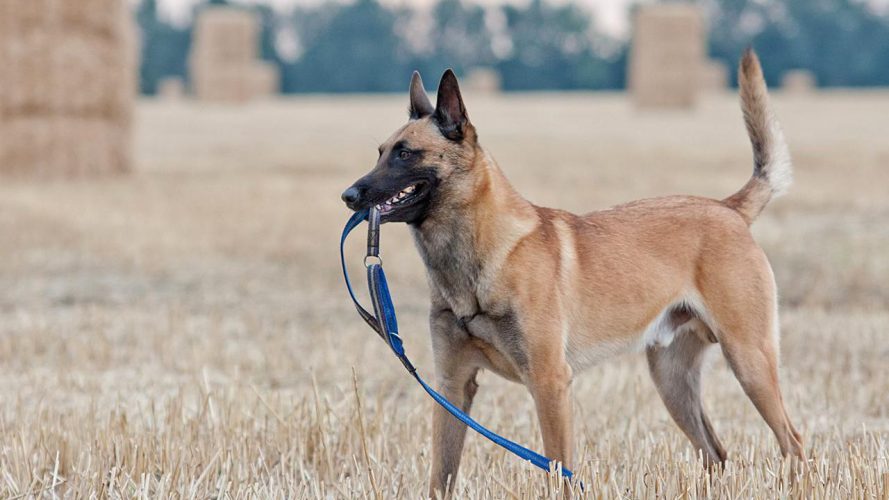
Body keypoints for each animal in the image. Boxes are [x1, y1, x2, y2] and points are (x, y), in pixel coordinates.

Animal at [340, 49, 804, 496]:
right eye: (380, 153)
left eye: (405, 153)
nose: (349, 195)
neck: (479, 258)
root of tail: (728, 209)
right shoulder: (453, 387)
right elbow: (442, 474)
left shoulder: (549, 383)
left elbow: (558, 470)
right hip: (673, 380)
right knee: (716, 453)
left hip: (749, 360)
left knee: (792, 442)